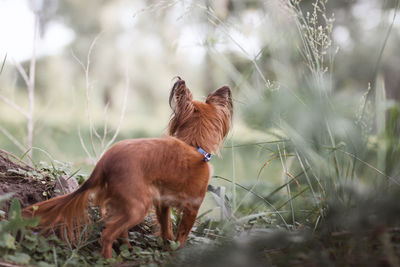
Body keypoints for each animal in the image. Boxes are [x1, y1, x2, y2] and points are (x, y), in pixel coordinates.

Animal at [21, 78, 233, 260]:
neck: (193, 145)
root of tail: (105, 160)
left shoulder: (163, 204)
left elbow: (166, 230)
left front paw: (167, 248)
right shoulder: (192, 208)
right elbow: (181, 236)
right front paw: (177, 254)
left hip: (127, 203)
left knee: (120, 230)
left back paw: (128, 251)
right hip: (139, 206)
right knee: (107, 234)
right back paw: (110, 259)